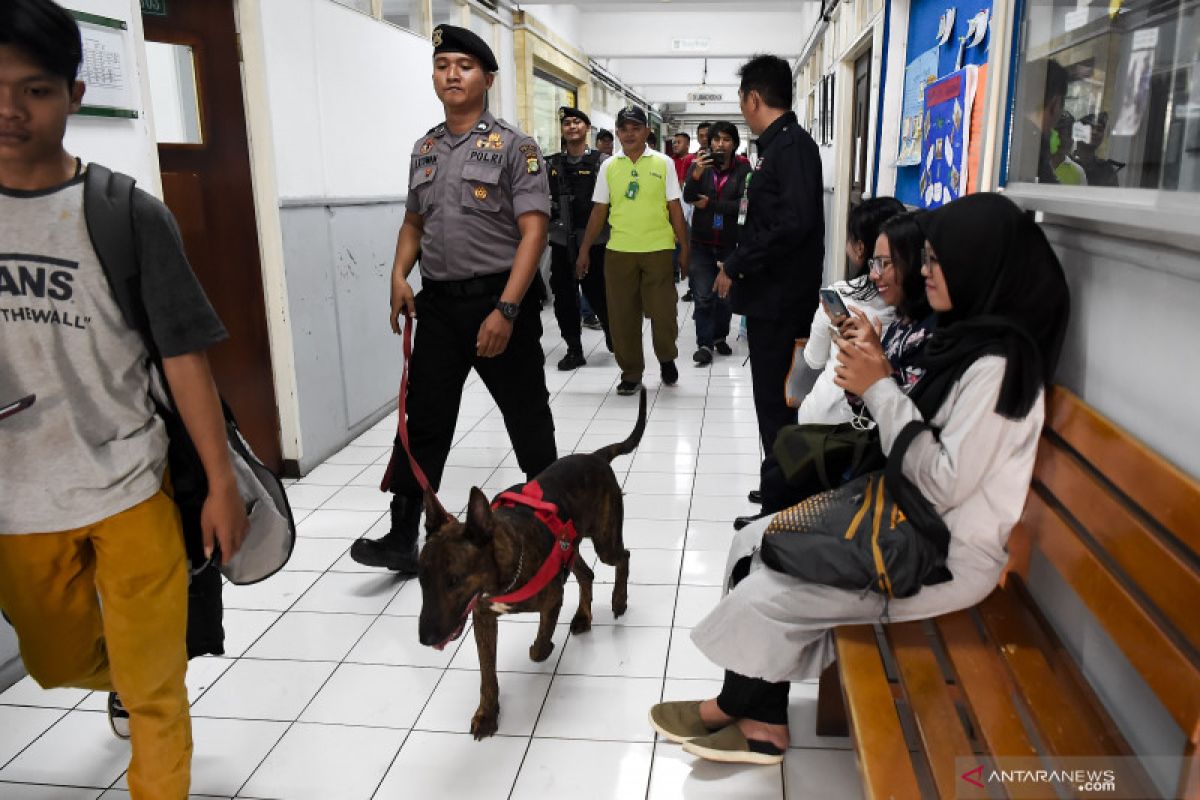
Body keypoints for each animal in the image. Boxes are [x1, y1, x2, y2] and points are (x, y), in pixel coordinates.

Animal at [420, 388, 648, 738]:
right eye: (420, 579)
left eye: (454, 580)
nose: (426, 639)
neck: (502, 576)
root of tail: (596, 456)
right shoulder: (483, 619)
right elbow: (487, 674)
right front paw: (488, 713)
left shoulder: (552, 597)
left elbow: (540, 644)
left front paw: (542, 648)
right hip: (572, 545)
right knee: (587, 573)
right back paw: (583, 616)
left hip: (604, 539)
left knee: (623, 557)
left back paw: (618, 600)